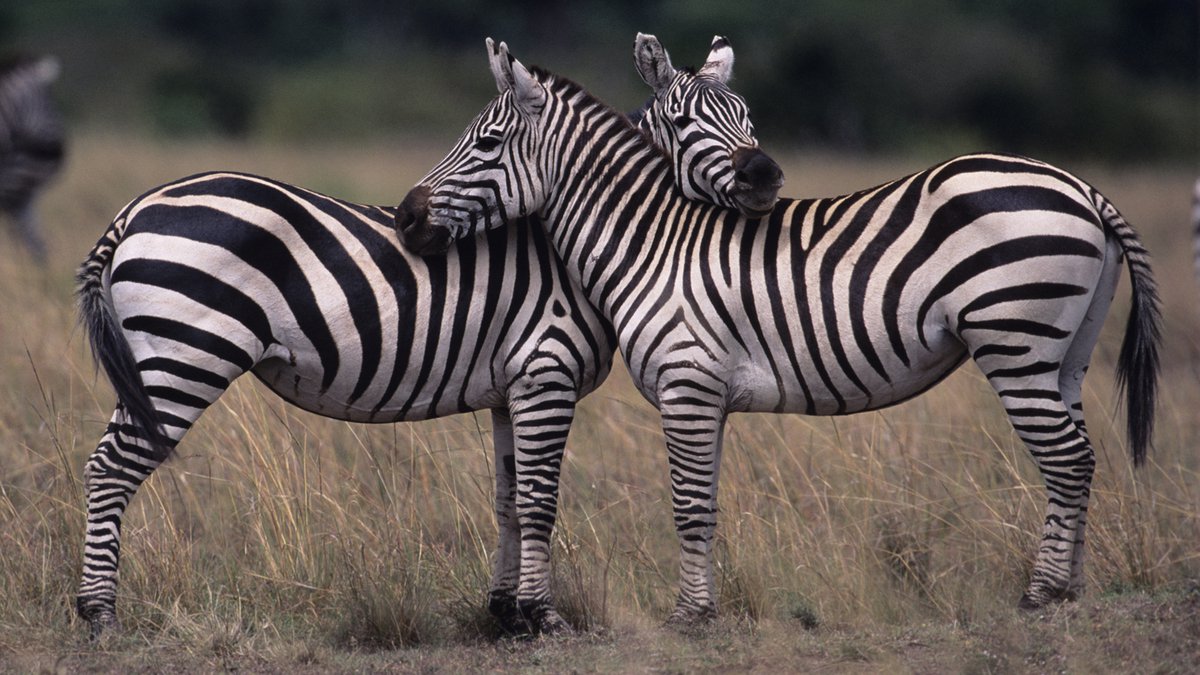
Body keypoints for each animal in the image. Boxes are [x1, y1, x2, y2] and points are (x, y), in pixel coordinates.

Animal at [400, 39, 1161, 624]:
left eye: (485, 143)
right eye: (686, 120)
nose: (408, 217)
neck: (654, 238)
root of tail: (1080, 187)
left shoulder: (686, 384)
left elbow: (687, 505)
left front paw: (689, 616)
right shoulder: (708, 395)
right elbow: (706, 502)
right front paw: (703, 607)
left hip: (1015, 341)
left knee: (1067, 460)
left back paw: (1043, 593)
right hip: (1065, 355)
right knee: (1082, 457)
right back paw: (1071, 588)